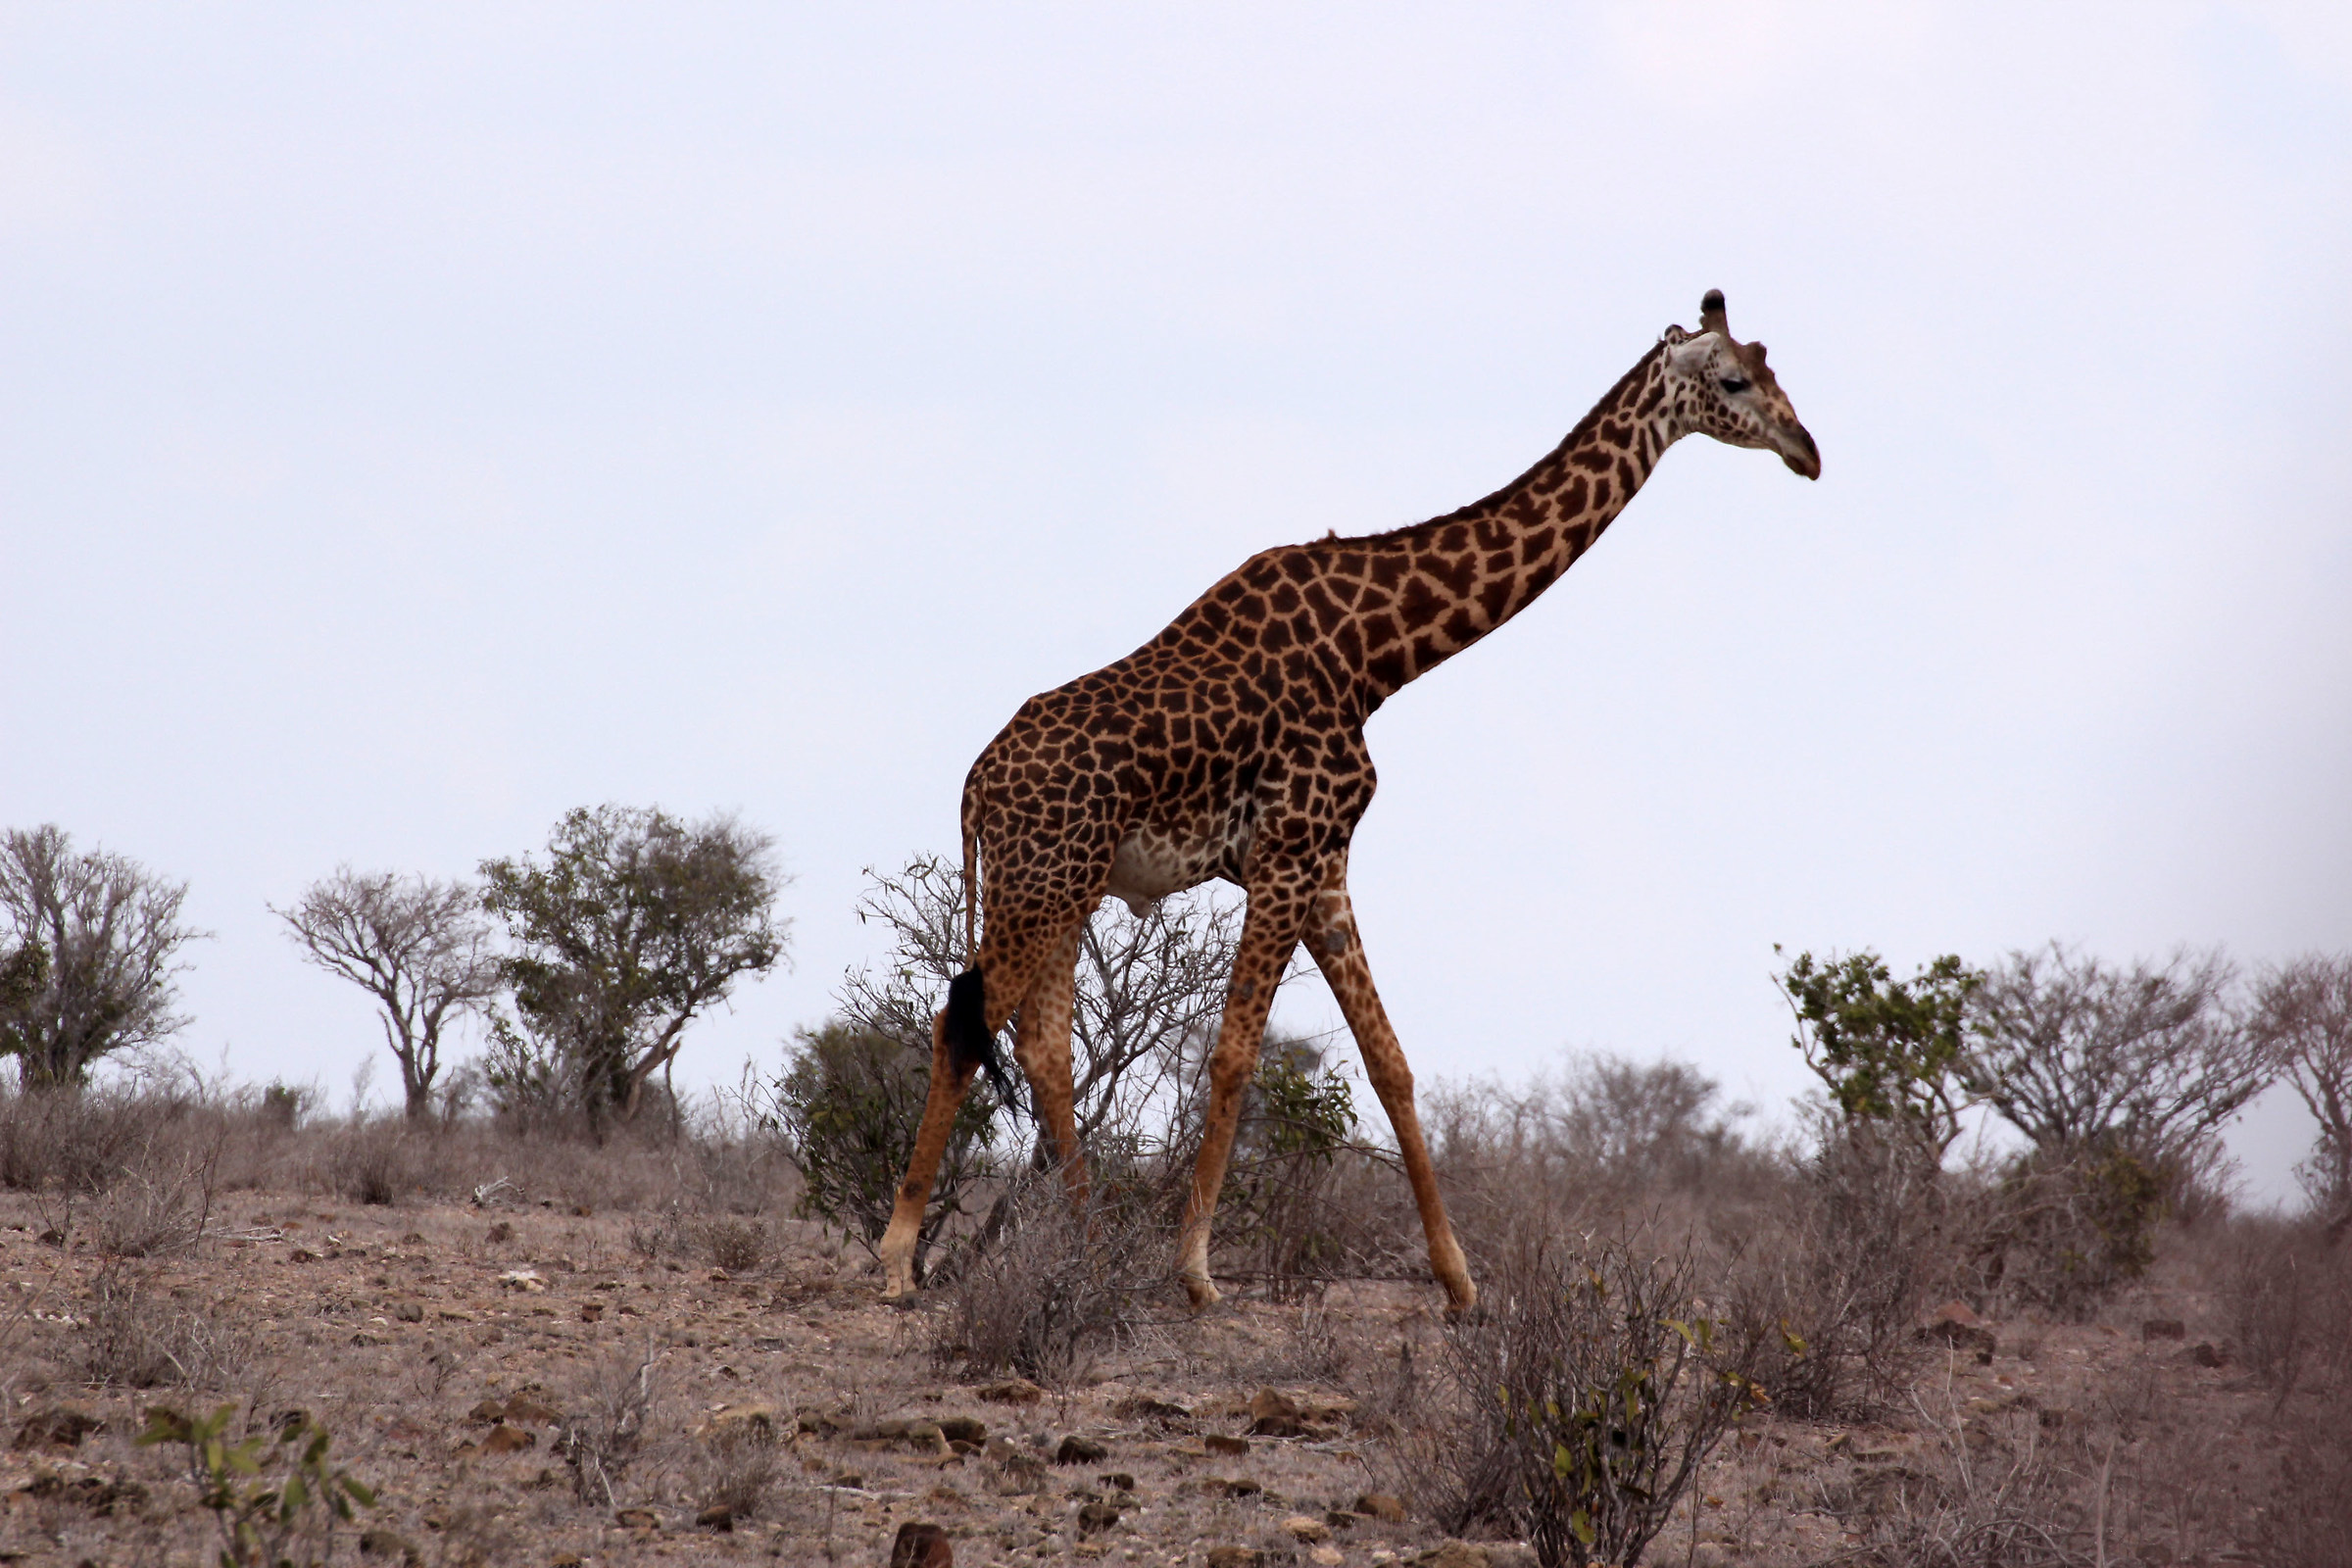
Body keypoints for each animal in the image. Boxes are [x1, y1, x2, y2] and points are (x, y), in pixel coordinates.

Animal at [878, 290, 1819, 1311]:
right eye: (1734, 379)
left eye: (1770, 366)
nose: (1809, 451)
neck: (1378, 653)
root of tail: (975, 785)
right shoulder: (1287, 853)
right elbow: (1235, 1053)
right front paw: (1195, 1270)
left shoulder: (1325, 865)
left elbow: (1390, 1062)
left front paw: (1461, 1283)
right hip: (1038, 884)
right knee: (962, 1020)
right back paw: (896, 1259)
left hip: (1066, 887)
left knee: (1043, 1050)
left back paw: (1086, 1254)